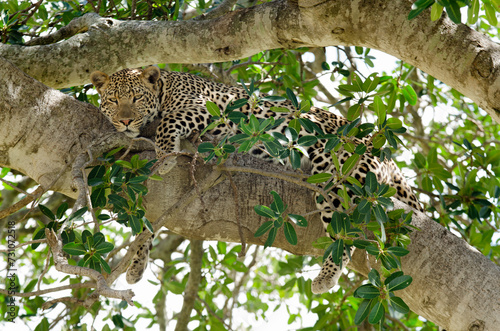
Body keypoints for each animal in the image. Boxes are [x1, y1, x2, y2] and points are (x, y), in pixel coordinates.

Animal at [90, 66, 422, 294]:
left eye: (136, 98)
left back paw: (325, 277)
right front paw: (137, 263)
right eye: (113, 100)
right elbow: (150, 222)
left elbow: (169, 123)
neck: (165, 87)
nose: (125, 121)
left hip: (340, 169)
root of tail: (387, 155)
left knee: (348, 229)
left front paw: (166, 154)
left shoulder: (207, 109)